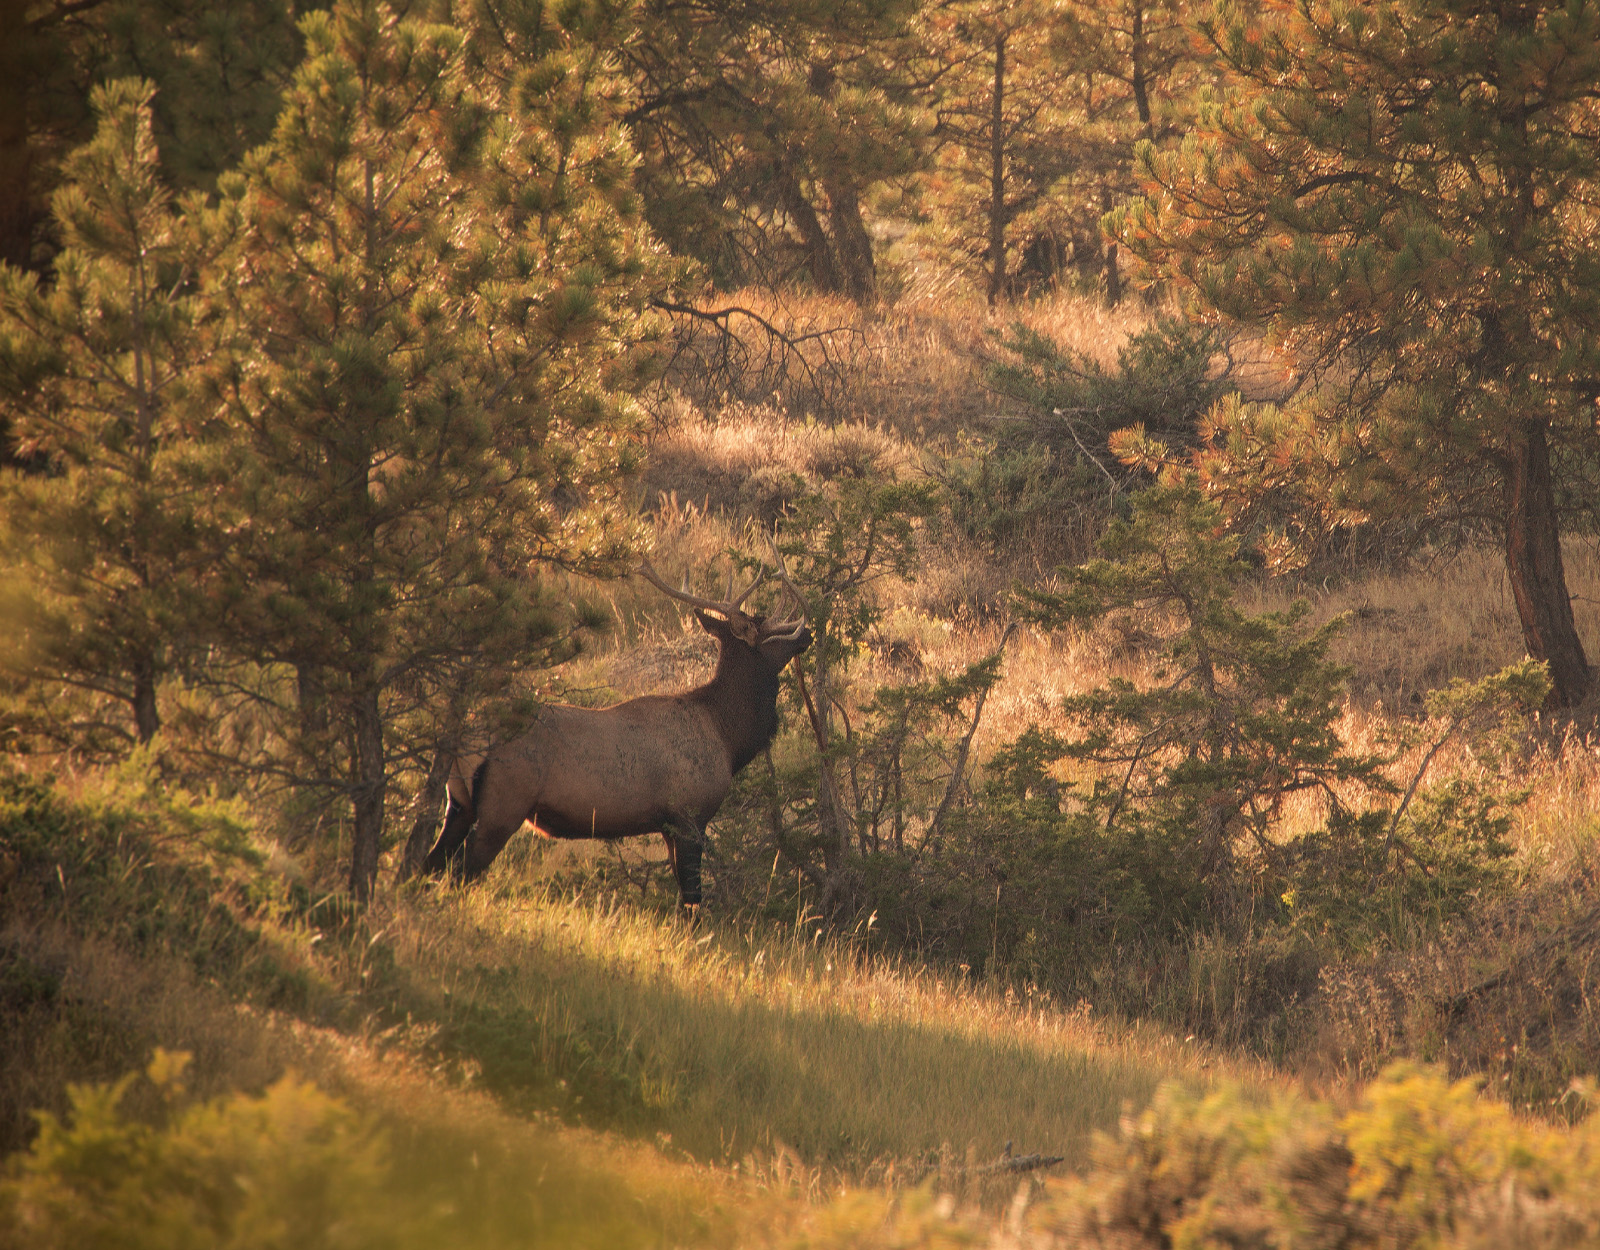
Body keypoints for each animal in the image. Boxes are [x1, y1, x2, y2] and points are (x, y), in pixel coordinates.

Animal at [420, 559, 811, 909]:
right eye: (767, 629)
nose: (807, 633)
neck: (727, 739)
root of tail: (464, 740)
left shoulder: (668, 825)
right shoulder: (689, 814)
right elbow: (692, 900)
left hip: (459, 803)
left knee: (431, 862)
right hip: (504, 803)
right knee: (462, 870)